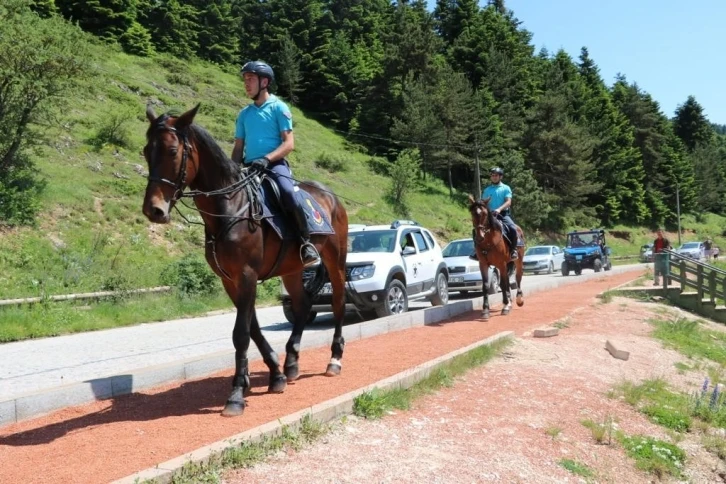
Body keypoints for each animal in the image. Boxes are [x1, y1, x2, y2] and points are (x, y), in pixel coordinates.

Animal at [141, 105, 350, 416]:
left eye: (172, 150)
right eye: (146, 150)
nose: (153, 210)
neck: (229, 206)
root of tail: (330, 195)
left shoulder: (247, 274)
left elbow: (241, 332)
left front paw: (237, 393)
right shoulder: (230, 280)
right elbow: (251, 327)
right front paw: (274, 374)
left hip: (335, 260)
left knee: (337, 303)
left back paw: (334, 359)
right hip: (291, 269)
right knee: (302, 306)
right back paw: (291, 363)